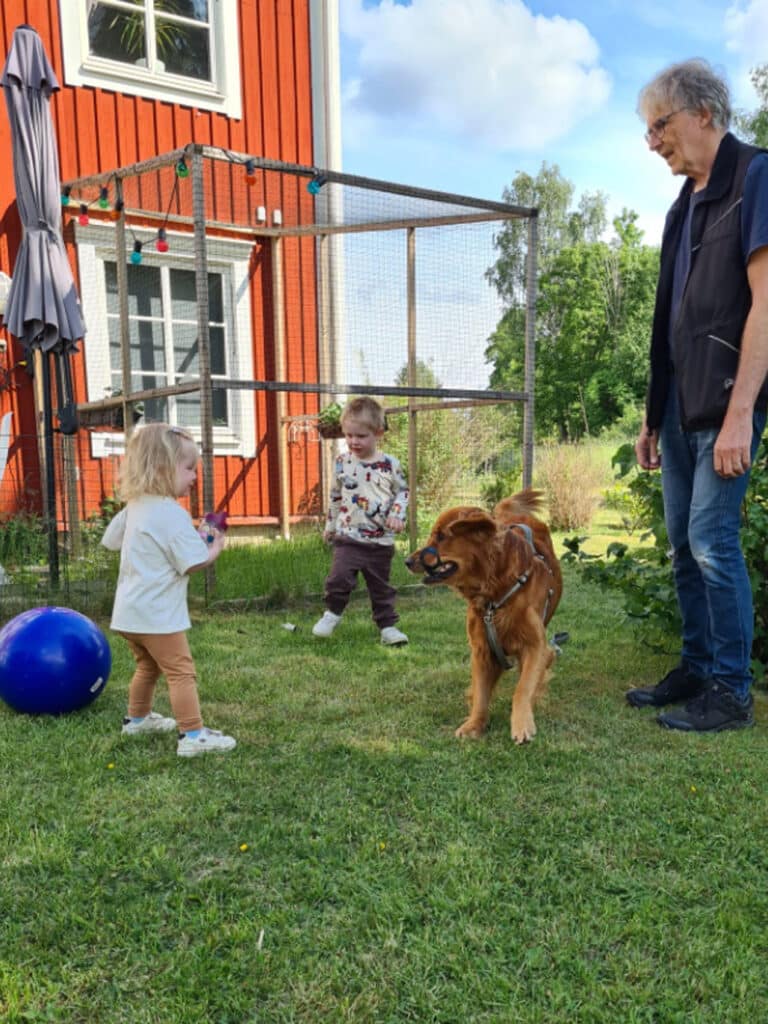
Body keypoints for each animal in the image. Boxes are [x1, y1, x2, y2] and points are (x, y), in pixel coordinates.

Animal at [405, 489, 561, 745]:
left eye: (441, 536)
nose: (407, 561)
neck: (496, 593)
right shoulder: (482, 648)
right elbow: (480, 693)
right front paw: (474, 724)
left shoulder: (537, 646)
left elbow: (523, 687)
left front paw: (522, 723)